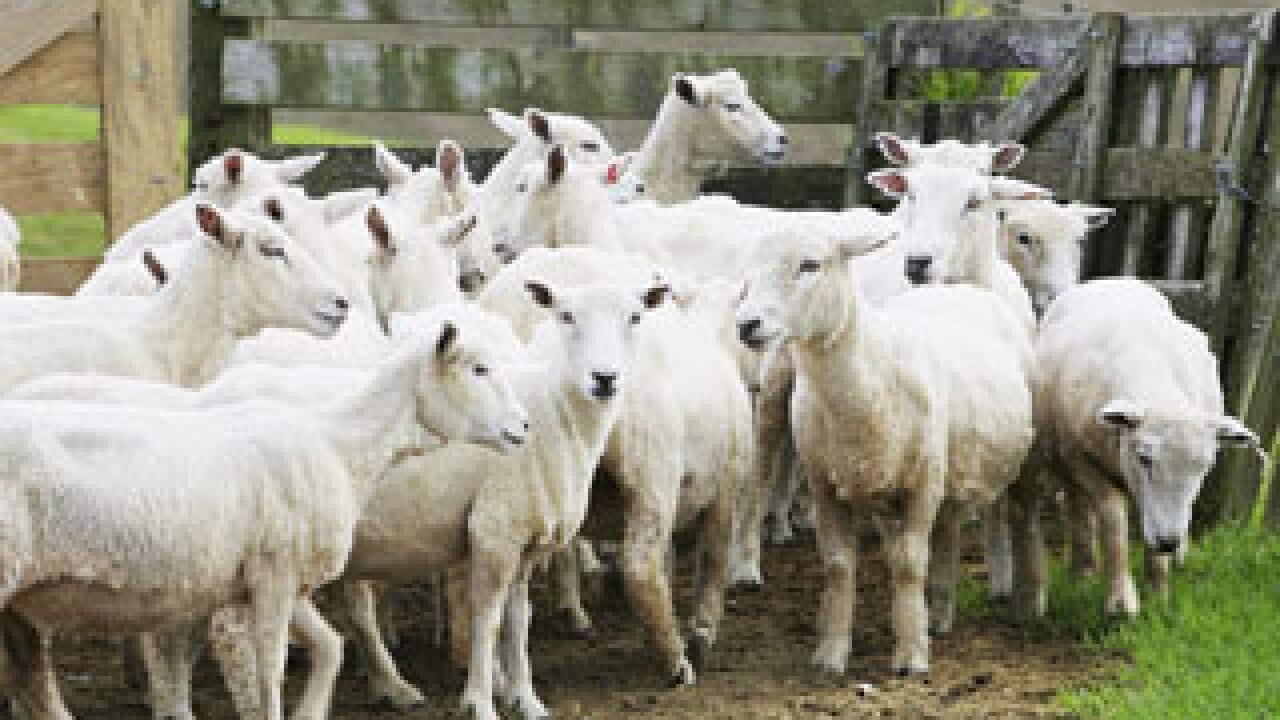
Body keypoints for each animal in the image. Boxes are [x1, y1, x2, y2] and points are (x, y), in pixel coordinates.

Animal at [0, 307, 530, 720]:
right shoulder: (275, 573)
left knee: (33, 685)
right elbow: (269, 674)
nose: (524, 427)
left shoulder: (275, 580)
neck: (339, 445)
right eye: (479, 369)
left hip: (17, 604)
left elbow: (330, 647)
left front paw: (313, 710)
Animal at [736, 228, 1034, 675]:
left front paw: (911, 654)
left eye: (810, 264)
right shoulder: (826, 485)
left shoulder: (923, 482)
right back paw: (939, 615)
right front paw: (832, 652)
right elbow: (838, 565)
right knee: (947, 531)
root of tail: (958, 287)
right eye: (749, 271)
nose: (747, 324)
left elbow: (909, 564)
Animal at [1034, 277, 1263, 617]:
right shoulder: (1081, 459)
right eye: (1144, 458)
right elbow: (1113, 519)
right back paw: (1084, 570)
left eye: (1205, 466)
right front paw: (1121, 600)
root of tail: (1111, 280)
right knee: (1076, 504)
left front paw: (1159, 594)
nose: (1170, 541)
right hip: (1061, 456)